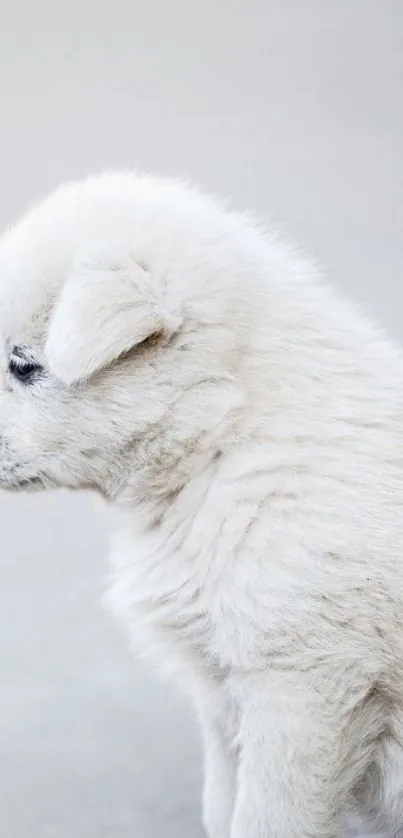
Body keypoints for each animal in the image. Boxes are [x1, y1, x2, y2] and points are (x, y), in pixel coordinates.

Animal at [0, 172, 403, 838]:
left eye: (24, 365)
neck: (225, 439)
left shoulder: (302, 688)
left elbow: (266, 819)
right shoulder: (223, 701)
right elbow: (221, 808)